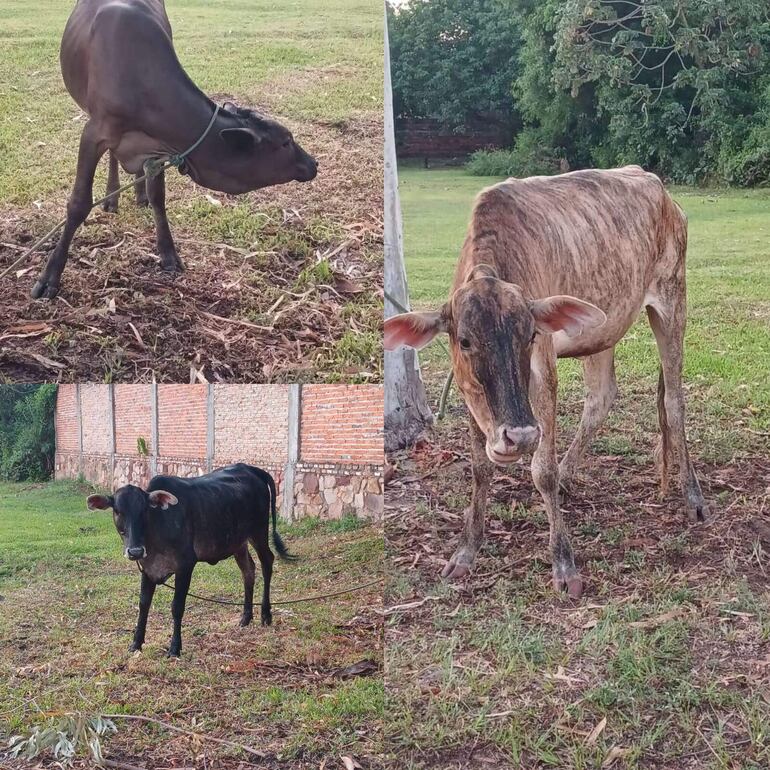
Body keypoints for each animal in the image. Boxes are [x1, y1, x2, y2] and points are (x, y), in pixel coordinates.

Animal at [33, 0, 316, 298]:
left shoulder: (159, 148)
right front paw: (50, 276)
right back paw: (112, 197)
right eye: (285, 141)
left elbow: (158, 196)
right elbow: (79, 204)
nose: (313, 163)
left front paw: (168, 254)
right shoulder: (94, 133)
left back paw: (137, 193)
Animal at [384, 165, 708, 596]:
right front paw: (466, 550)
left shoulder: (543, 371)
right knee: (601, 396)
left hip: (673, 301)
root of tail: (662, 191)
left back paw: (693, 496)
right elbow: (480, 467)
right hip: (601, 328)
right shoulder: (472, 393)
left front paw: (563, 563)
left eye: (530, 335)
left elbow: (543, 471)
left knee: (673, 401)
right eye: (465, 340)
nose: (518, 437)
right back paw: (571, 474)